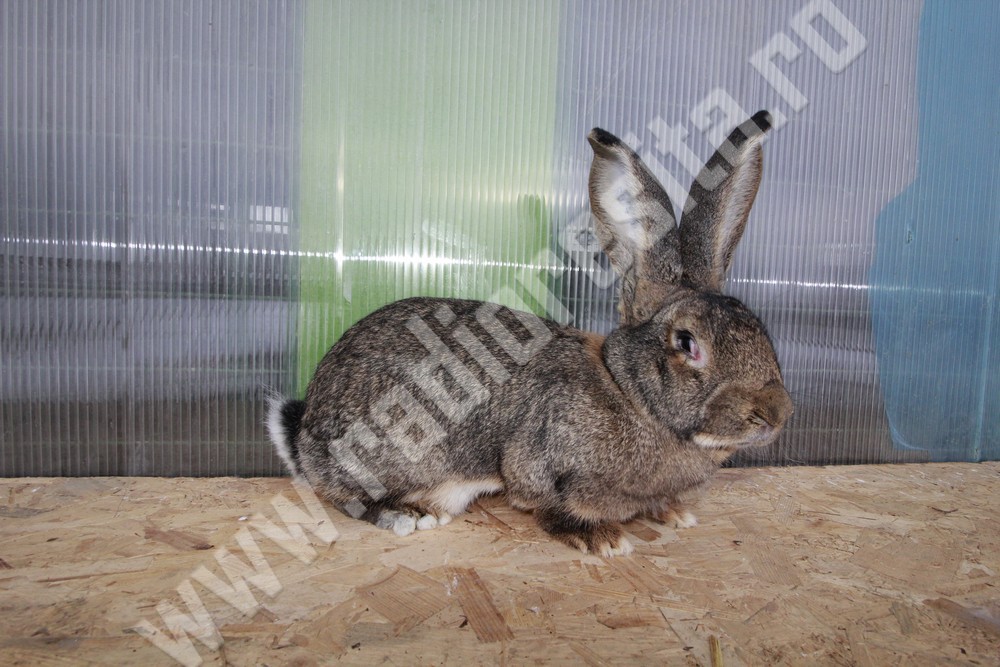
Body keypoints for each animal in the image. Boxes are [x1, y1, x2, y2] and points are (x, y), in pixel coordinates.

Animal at [267, 110, 792, 557]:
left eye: (760, 329)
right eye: (686, 343)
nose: (775, 413)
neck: (630, 394)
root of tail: (304, 432)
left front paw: (675, 515)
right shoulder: (538, 464)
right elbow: (546, 507)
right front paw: (603, 539)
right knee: (340, 495)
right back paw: (407, 514)